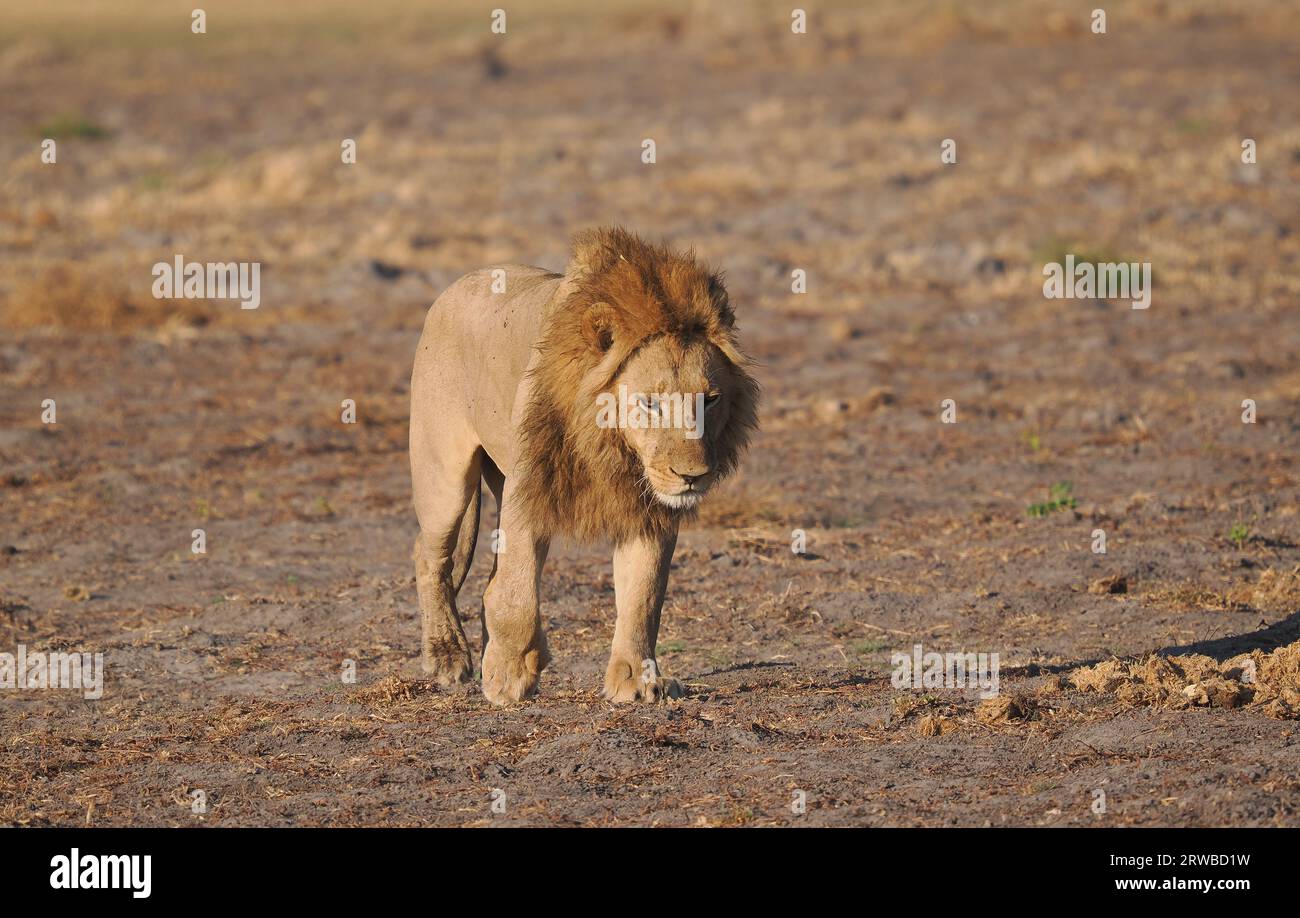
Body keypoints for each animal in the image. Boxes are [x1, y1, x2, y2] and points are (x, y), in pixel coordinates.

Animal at [410, 224, 759, 702]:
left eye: (711, 399)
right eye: (649, 403)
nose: (693, 476)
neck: (610, 445)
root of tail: (455, 286)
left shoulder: (648, 508)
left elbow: (643, 592)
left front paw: (636, 679)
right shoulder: (530, 484)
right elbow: (518, 591)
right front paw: (508, 675)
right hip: (444, 478)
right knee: (430, 557)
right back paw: (447, 655)